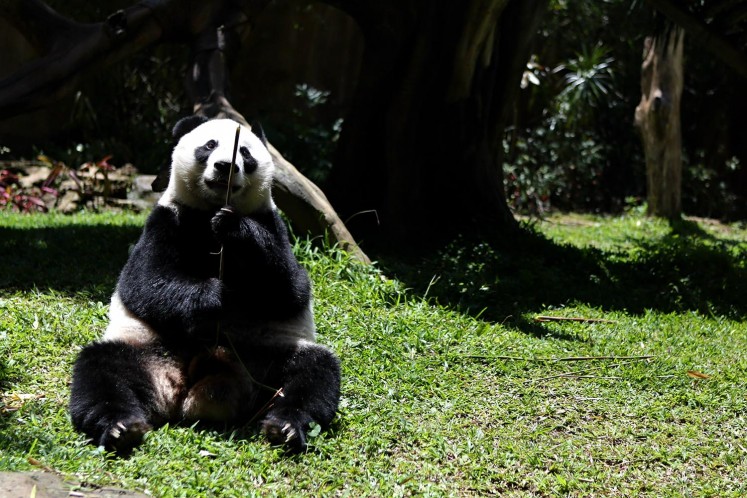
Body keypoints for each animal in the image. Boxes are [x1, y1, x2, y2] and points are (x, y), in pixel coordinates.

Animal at [70, 116, 342, 456]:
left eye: (245, 153)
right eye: (209, 145)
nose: (226, 166)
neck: (210, 212)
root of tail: (189, 388)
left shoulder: (272, 224)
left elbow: (290, 289)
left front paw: (236, 230)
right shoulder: (168, 219)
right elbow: (144, 281)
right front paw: (214, 296)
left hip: (264, 355)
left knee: (312, 374)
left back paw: (285, 427)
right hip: (148, 348)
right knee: (102, 370)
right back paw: (121, 427)